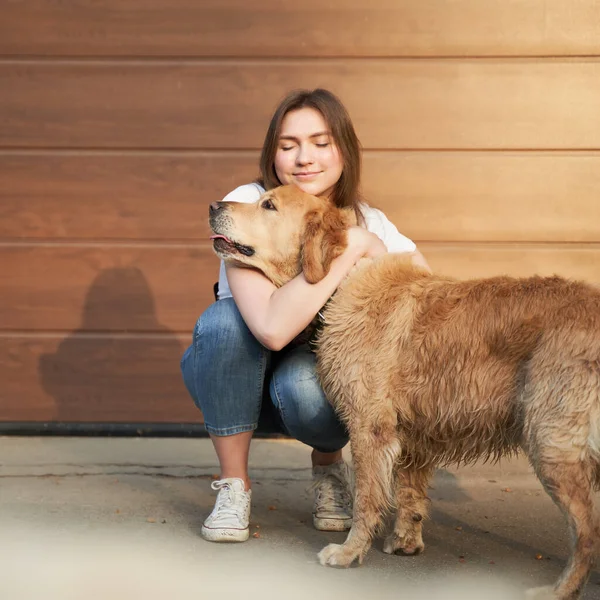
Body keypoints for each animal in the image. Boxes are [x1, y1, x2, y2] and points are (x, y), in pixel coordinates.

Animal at [210, 185, 600, 596]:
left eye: (268, 205)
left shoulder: (369, 429)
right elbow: (409, 494)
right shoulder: (415, 435)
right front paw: (405, 542)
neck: (341, 279)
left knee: (587, 531)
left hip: (552, 442)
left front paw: (349, 552)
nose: (213, 206)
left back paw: (559, 590)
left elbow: (367, 499)